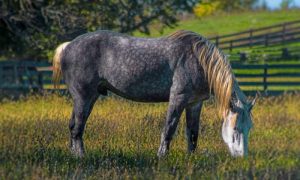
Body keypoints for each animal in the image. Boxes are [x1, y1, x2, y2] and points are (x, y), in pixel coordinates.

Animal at [52, 29, 255, 158]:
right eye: (235, 128)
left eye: (249, 128)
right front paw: (162, 156)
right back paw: (81, 156)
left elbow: (192, 133)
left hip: (88, 97)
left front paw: (191, 158)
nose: (242, 157)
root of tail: (68, 46)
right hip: (83, 97)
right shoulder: (178, 98)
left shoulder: (194, 103)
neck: (199, 60)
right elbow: (169, 128)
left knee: (73, 126)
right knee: (78, 128)